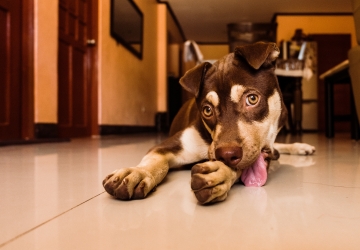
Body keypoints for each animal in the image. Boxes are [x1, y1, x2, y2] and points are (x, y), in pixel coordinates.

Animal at [103, 42, 316, 204]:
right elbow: (155, 161)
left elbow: (242, 165)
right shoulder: (167, 145)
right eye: (207, 110)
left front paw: (219, 174)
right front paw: (137, 172)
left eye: (252, 99)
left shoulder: (258, 153)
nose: (226, 154)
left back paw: (300, 146)